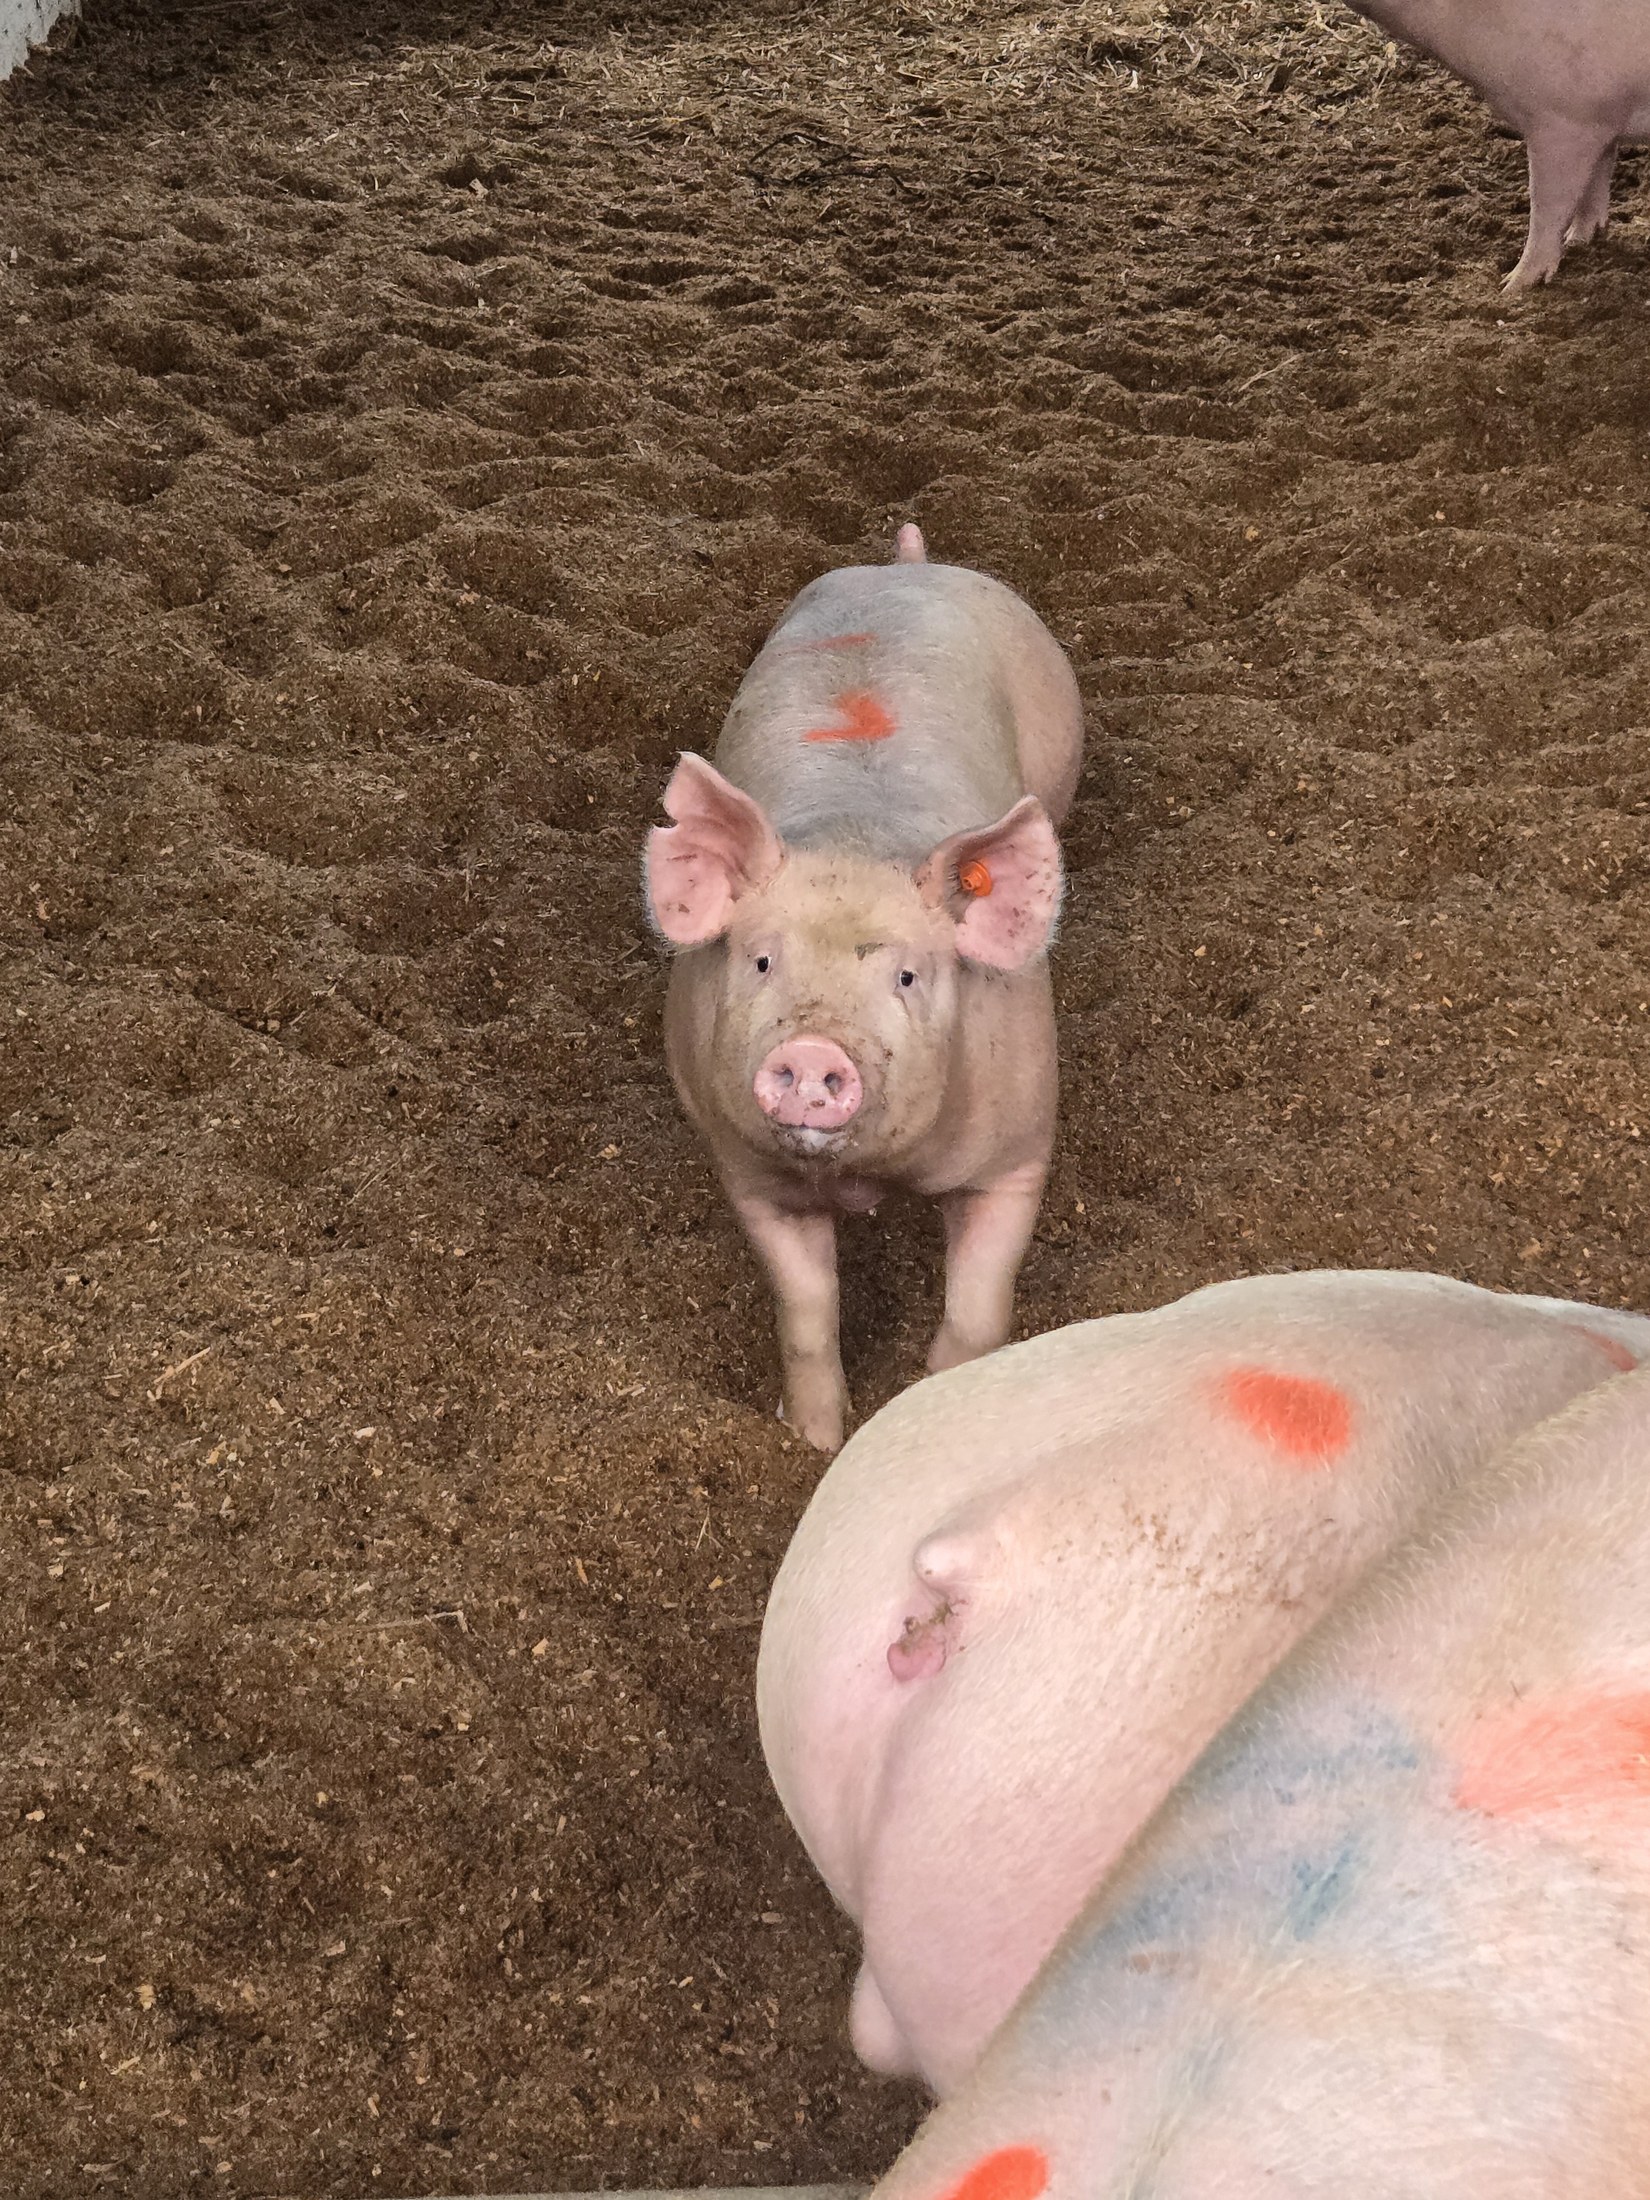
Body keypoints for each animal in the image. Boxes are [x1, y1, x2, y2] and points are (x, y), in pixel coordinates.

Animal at [645, 525, 1082, 1454]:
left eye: (908, 976)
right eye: (761, 961)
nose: (814, 1050)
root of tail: (906, 566)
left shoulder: (1020, 1147)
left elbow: (981, 1307)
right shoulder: (749, 1171)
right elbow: (807, 1310)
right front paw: (815, 1441)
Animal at [1345, 0, 1650, 288]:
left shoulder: (1564, 121)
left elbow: (1547, 207)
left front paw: (1513, 286)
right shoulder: (1600, 123)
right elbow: (1594, 185)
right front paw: (1579, 240)